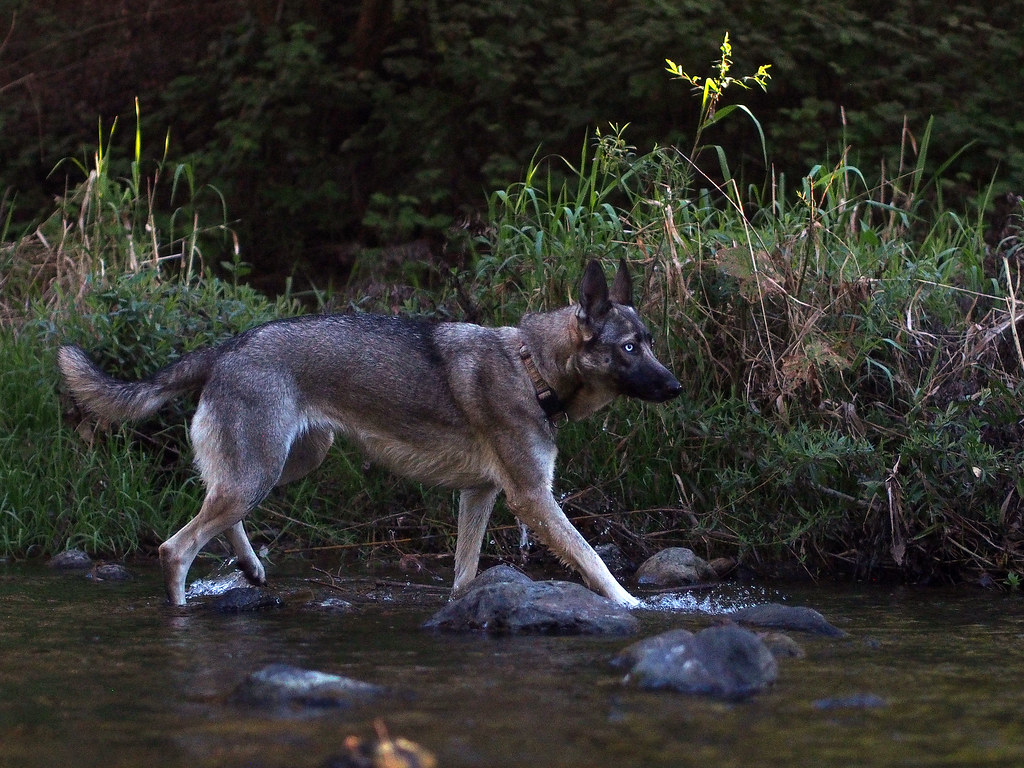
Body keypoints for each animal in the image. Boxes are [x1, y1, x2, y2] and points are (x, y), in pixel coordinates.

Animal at [56, 262, 679, 610]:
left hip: (284, 467)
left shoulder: (479, 495)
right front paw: (632, 606)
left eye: (650, 342)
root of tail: (228, 346)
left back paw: (252, 570)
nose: (676, 386)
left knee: (218, 513)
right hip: (260, 474)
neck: (532, 369)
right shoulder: (532, 499)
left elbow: (464, 574)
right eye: (629, 347)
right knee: (176, 547)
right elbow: (593, 560)